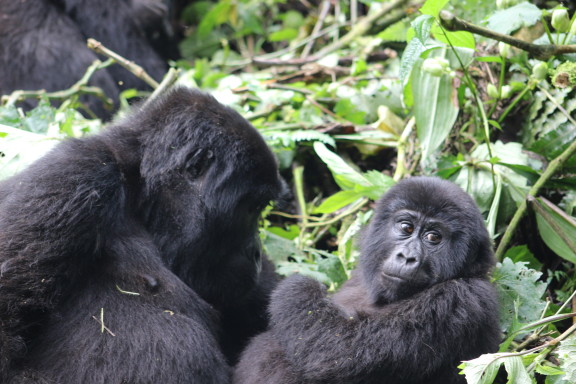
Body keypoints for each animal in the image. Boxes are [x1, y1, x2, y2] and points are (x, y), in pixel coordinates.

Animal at [236, 177, 502, 384]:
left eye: (433, 237)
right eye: (406, 227)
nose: (407, 257)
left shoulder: (461, 299)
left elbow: (338, 352)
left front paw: (298, 286)